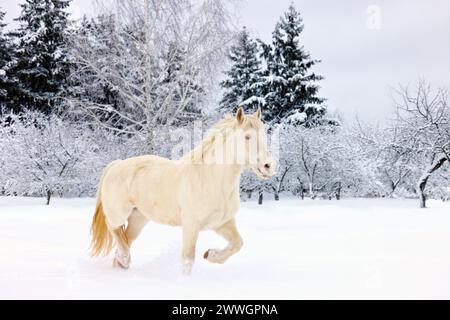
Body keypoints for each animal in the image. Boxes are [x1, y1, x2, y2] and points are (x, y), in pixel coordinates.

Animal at [90, 107, 276, 272]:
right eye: (247, 136)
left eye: (264, 136)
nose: (269, 166)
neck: (212, 180)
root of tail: (116, 164)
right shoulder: (191, 225)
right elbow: (188, 259)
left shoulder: (222, 223)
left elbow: (238, 243)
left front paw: (211, 255)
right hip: (119, 213)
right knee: (113, 228)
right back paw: (124, 258)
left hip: (138, 219)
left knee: (125, 240)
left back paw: (123, 262)